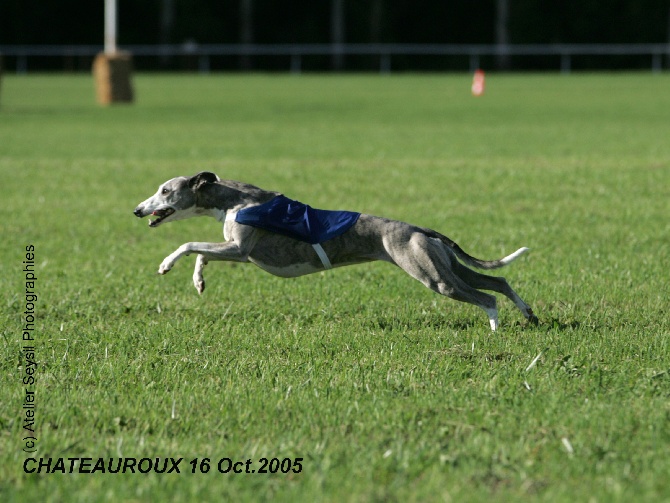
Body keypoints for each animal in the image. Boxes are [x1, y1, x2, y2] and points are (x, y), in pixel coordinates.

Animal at [135, 171, 540, 332]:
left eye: (165, 191)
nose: (138, 210)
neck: (236, 199)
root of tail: (420, 229)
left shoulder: (241, 249)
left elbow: (189, 245)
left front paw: (166, 264)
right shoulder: (236, 251)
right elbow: (202, 253)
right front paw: (198, 282)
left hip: (434, 276)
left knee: (487, 297)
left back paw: (494, 327)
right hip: (445, 265)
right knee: (500, 281)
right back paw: (529, 315)